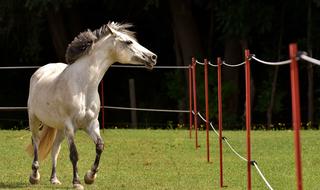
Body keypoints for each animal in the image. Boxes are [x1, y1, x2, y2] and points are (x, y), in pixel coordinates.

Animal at [26, 21, 157, 189]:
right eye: (129, 42)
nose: (153, 57)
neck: (83, 85)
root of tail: (40, 71)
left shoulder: (92, 124)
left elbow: (100, 146)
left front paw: (90, 176)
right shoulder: (70, 126)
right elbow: (74, 154)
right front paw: (77, 182)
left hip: (59, 128)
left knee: (55, 149)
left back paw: (54, 179)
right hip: (34, 119)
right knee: (36, 142)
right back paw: (34, 176)